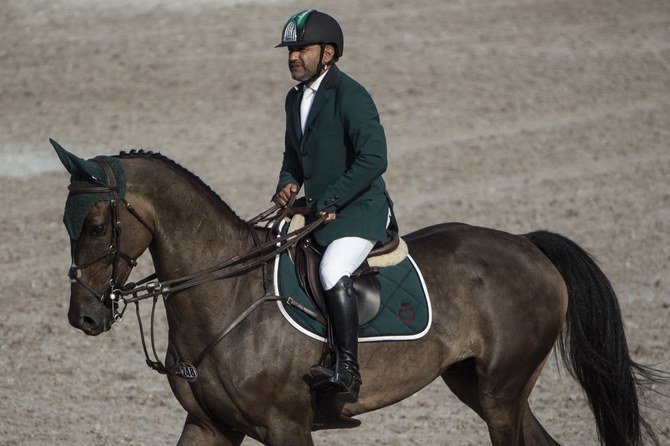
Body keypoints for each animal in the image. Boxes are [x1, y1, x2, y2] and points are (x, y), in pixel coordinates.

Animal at [51, 140, 660, 446]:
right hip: (480, 387)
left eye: (98, 225)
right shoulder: (209, 426)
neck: (225, 296)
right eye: (65, 223)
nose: (84, 317)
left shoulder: (285, 427)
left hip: (501, 395)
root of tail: (528, 245)